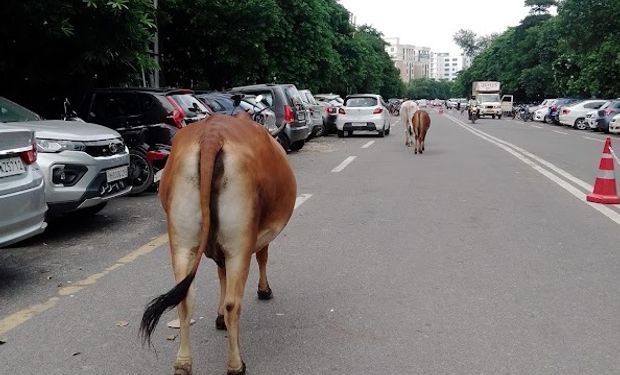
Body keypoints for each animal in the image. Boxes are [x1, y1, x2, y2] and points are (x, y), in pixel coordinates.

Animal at [142, 112, 296, 375]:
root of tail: (212, 135)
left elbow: (220, 274)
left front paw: (218, 316)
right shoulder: (259, 237)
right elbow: (262, 258)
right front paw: (264, 291)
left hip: (181, 243)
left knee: (185, 299)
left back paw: (183, 363)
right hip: (239, 245)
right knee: (234, 303)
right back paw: (236, 364)